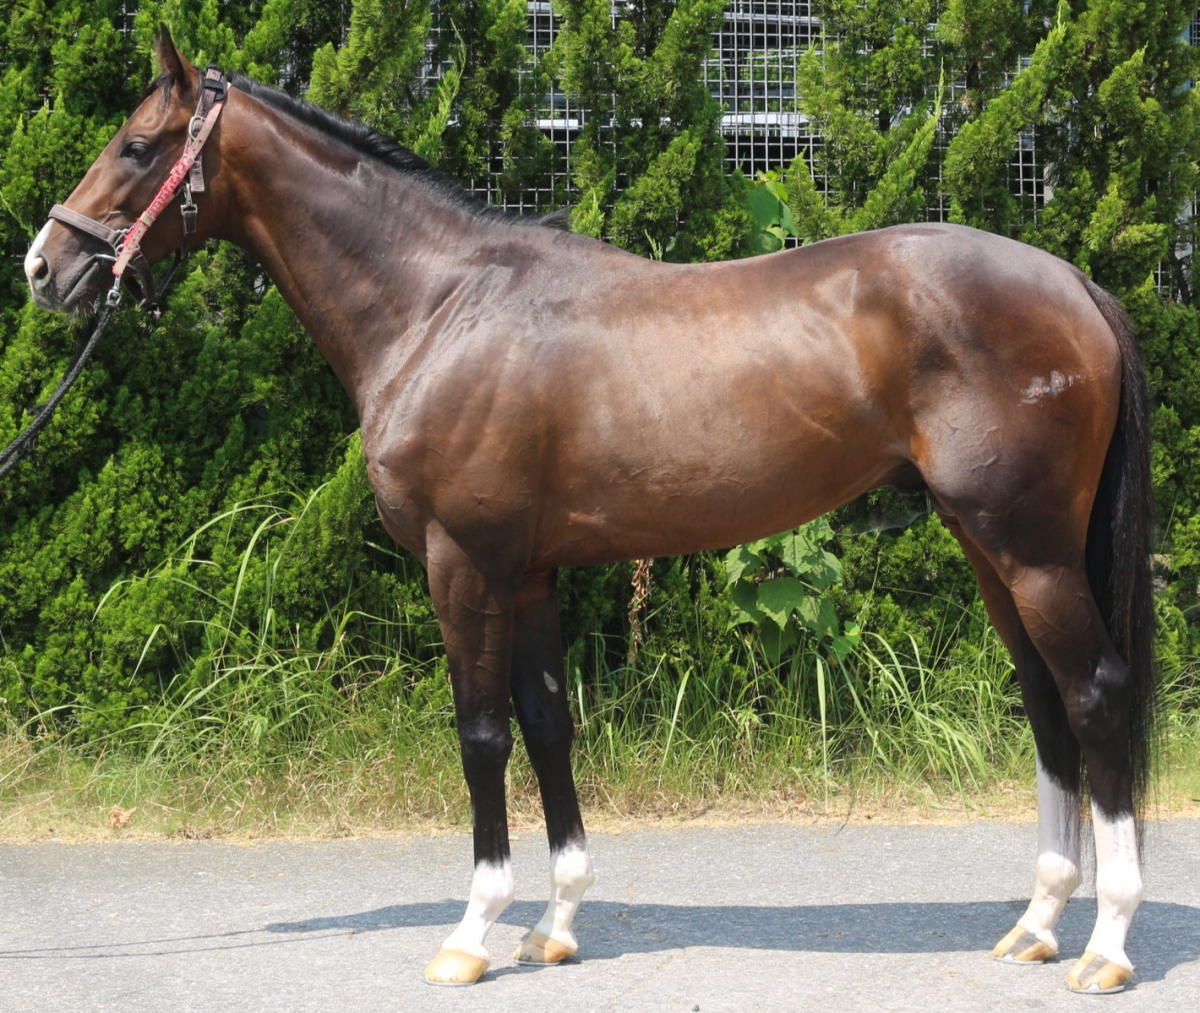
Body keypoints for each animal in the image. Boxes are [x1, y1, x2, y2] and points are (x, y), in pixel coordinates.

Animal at [24, 28, 1155, 994]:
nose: (44, 265)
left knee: (1095, 692)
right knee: (1045, 698)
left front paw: (472, 932)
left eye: (136, 145)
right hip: (990, 546)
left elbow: (482, 731)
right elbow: (547, 721)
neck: (442, 304)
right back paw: (1038, 925)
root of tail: (1076, 283)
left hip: (1031, 548)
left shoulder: (463, 562)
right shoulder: (527, 570)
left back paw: (1105, 945)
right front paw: (556, 923)